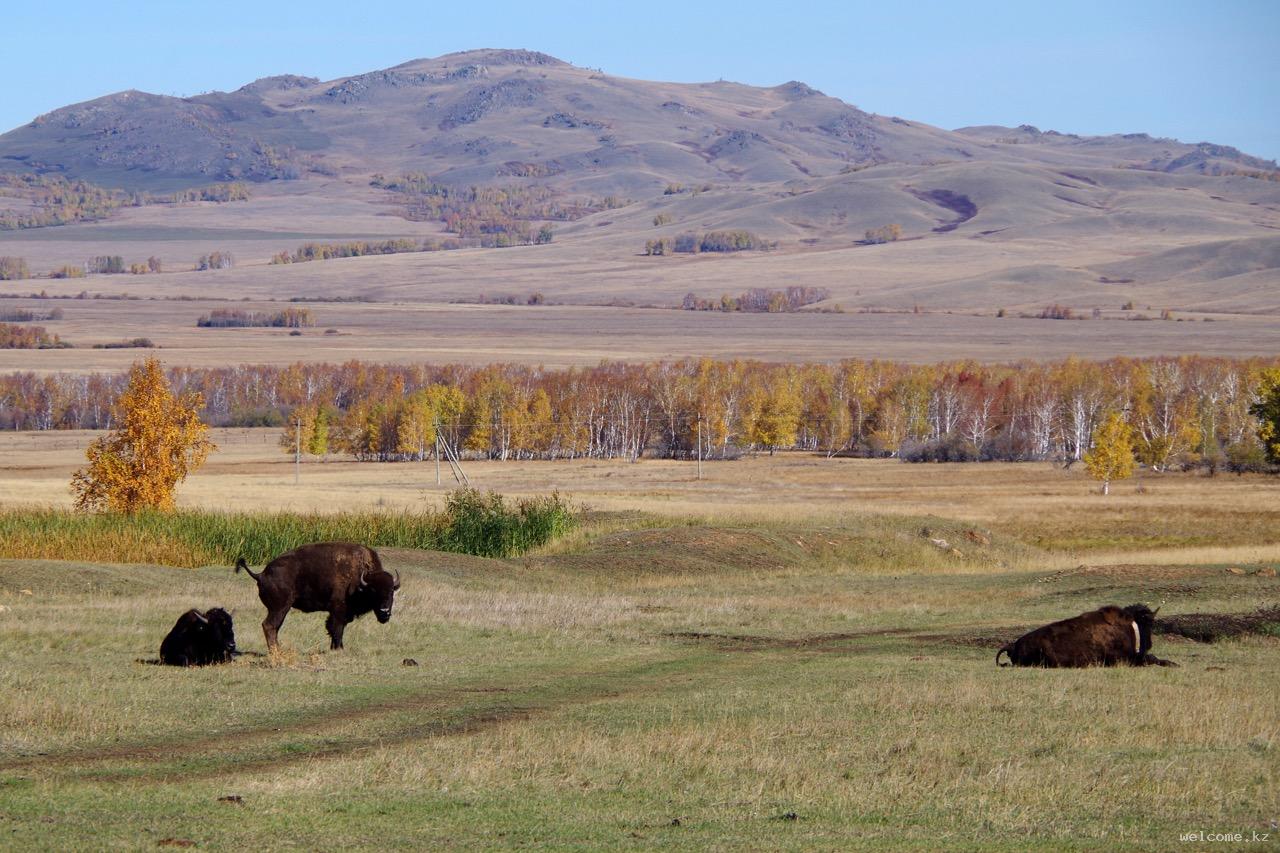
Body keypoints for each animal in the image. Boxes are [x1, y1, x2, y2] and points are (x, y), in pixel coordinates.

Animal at [235, 540, 399, 648]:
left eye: (392, 591)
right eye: (373, 591)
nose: (385, 611)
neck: (360, 578)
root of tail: (261, 574)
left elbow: (333, 629)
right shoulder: (339, 611)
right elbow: (337, 630)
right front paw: (338, 649)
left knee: (274, 627)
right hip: (279, 608)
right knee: (269, 626)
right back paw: (276, 651)